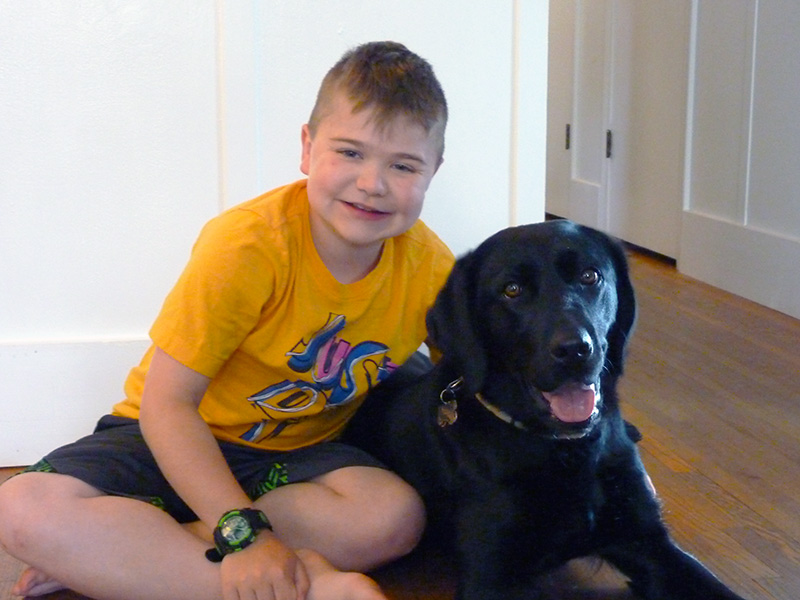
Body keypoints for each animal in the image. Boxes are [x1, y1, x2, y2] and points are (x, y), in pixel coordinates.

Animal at [346, 220, 748, 600]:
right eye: (512, 290)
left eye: (590, 276)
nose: (574, 350)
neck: (566, 451)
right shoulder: (493, 578)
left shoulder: (649, 542)